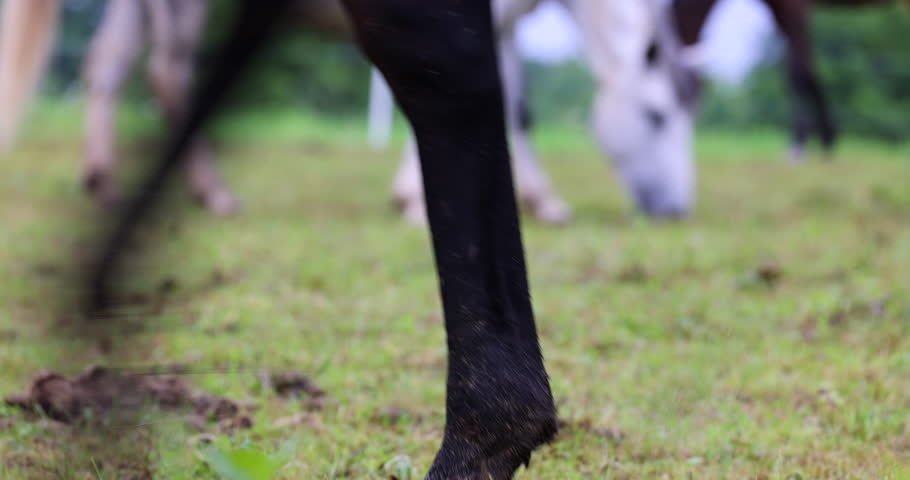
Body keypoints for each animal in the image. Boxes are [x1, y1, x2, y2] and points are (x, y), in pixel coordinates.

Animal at [672, 0, 909, 161]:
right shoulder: (779, 7)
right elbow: (809, 71)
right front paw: (827, 138)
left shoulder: (795, 6)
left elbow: (799, 73)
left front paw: (798, 144)